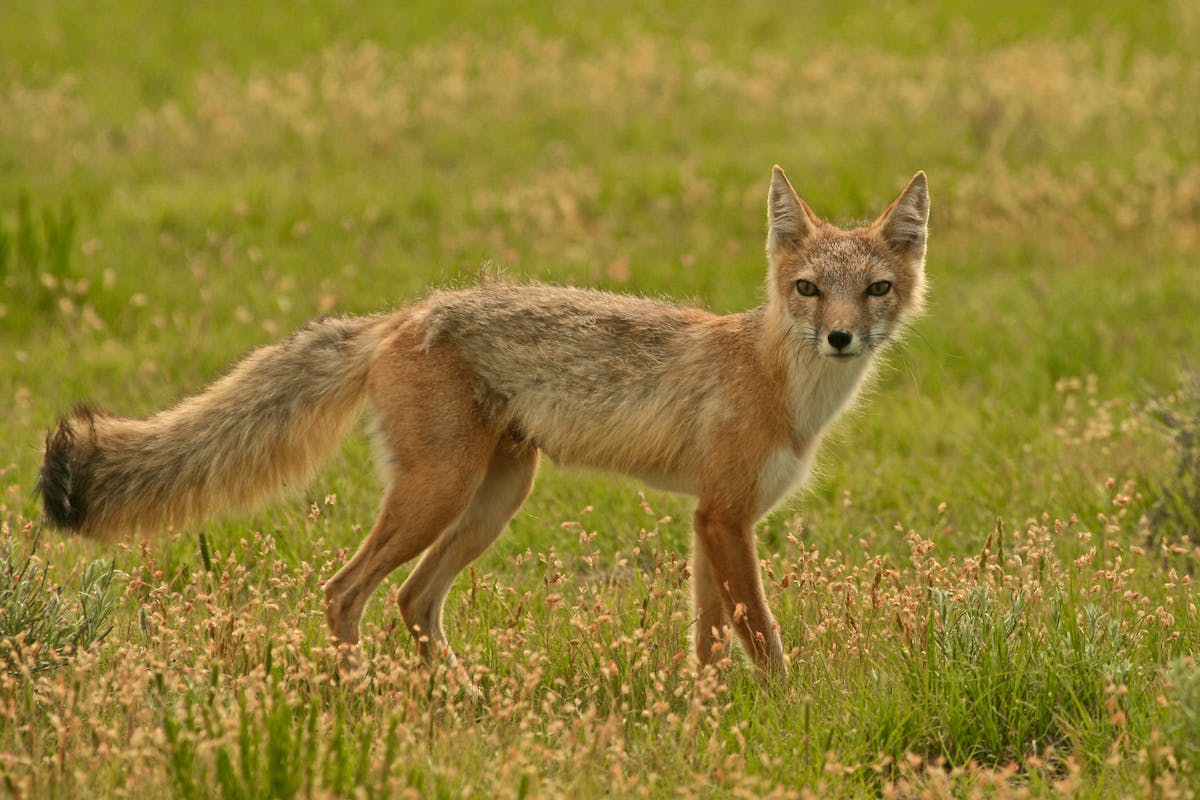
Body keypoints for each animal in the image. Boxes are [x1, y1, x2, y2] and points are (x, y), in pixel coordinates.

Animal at [37, 166, 928, 677]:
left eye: (875, 289)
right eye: (809, 289)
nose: (841, 337)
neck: (782, 384)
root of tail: (399, 315)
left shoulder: (713, 517)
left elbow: (711, 639)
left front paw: (703, 719)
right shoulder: (723, 518)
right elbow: (764, 640)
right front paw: (785, 712)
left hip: (493, 500)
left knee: (412, 601)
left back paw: (457, 702)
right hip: (440, 495)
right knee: (344, 592)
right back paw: (362, 700)